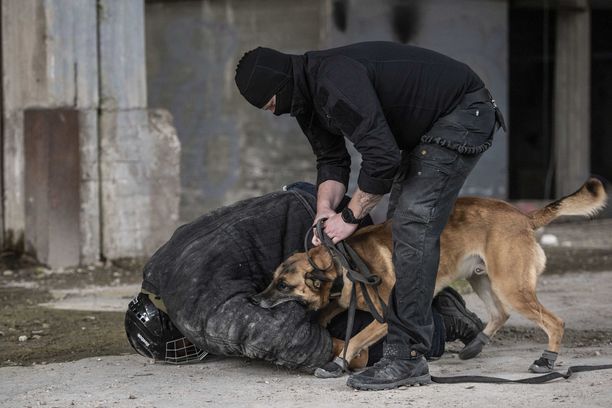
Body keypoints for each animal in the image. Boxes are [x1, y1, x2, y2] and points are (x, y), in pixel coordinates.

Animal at [252, 180, 608, 374]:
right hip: (483, 279)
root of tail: (524, 217)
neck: (342, 263)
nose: (254, 299)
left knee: (554, 322)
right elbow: (326, 312)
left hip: (510, 286)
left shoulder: (383, 319)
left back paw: (546, 361)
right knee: (500, 313)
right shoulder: (341, 301)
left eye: (283, 285)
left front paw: (337, 363)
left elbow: (354, 339)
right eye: (272, 279)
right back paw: (474, 345)